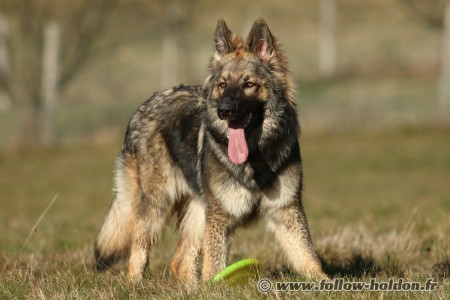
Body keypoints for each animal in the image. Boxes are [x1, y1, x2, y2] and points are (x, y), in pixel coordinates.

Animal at [95, 17, 326, 284]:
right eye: (223, 85)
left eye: (249, 84)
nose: (223, 110)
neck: (254, 159)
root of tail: (142, 107)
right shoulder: (220, 217)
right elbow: (214, 265)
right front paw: (216, 287)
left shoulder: (286, 211)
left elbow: (307, 257)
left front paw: (325, 283)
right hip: (156, 206)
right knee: (138, 251)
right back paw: (135, 285)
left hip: (197, 210)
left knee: (181, 262)